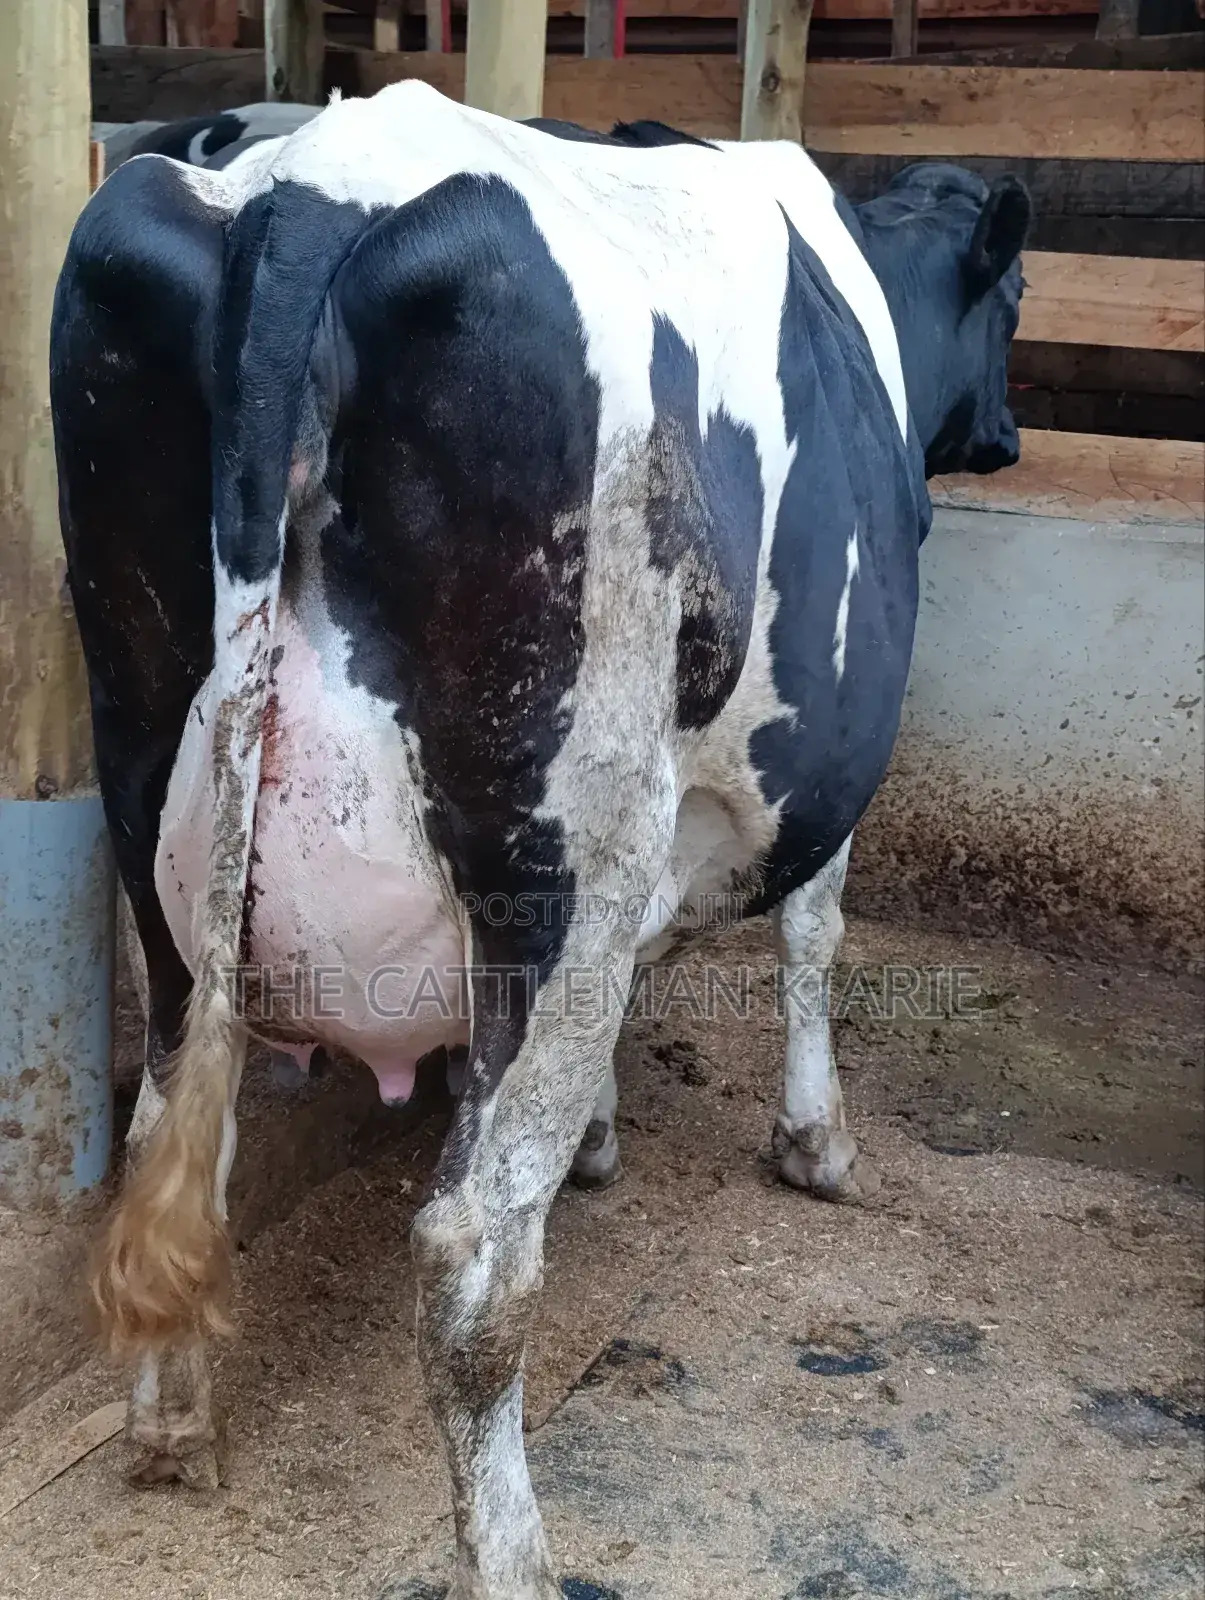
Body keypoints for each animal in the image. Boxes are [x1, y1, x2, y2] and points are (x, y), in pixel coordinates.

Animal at [51, 82, 1028, 1599]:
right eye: (1019, 304)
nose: (1015, 435)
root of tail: (318, 184)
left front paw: (603, 1134)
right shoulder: (809, 773)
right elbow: (814, 936)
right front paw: (815, 1146)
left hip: (148, 783)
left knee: (168, 1134)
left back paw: (169, 1429)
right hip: (564, 845)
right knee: (469, 1250)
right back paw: (512, 1553)